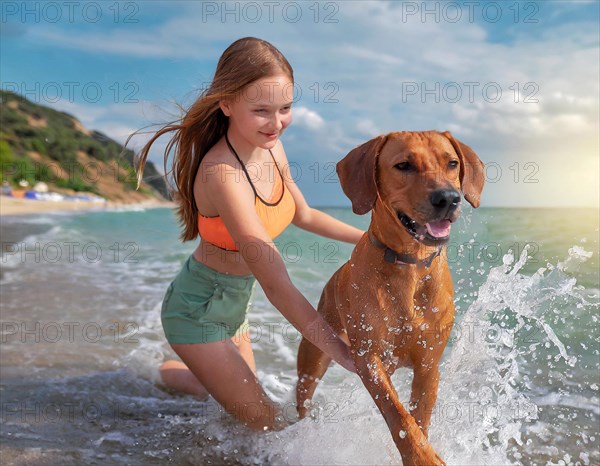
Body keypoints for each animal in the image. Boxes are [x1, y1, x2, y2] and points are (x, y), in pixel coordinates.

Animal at [298, 131, 486, 466]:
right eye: (403, 165)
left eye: (452, 163)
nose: (448, 198)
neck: (409, 264)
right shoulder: (368, 357)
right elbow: (397, 414)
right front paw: (421, 457)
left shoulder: (428, 364)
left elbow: (419, 418)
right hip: (314, 353)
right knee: (304, 395)